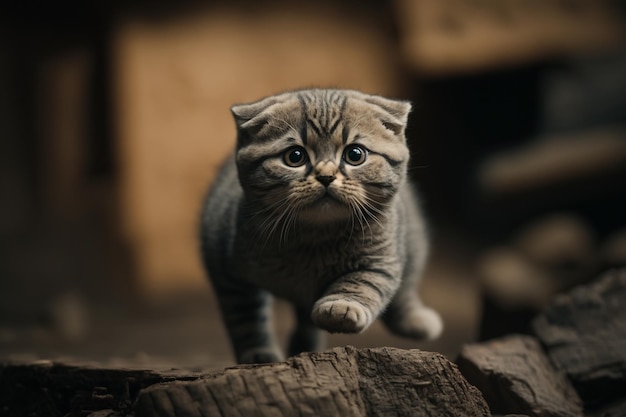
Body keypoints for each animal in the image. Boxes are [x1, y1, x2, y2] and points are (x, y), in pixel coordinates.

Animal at [199, 88, 438, 364]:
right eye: (295, 156)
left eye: (355, 155)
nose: (326, 176)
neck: (315, 237)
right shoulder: (226, 266)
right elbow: (245, 319)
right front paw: (259, 355)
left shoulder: (380, 259)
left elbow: (362, 282)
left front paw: (342, 307)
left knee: (405, 290)